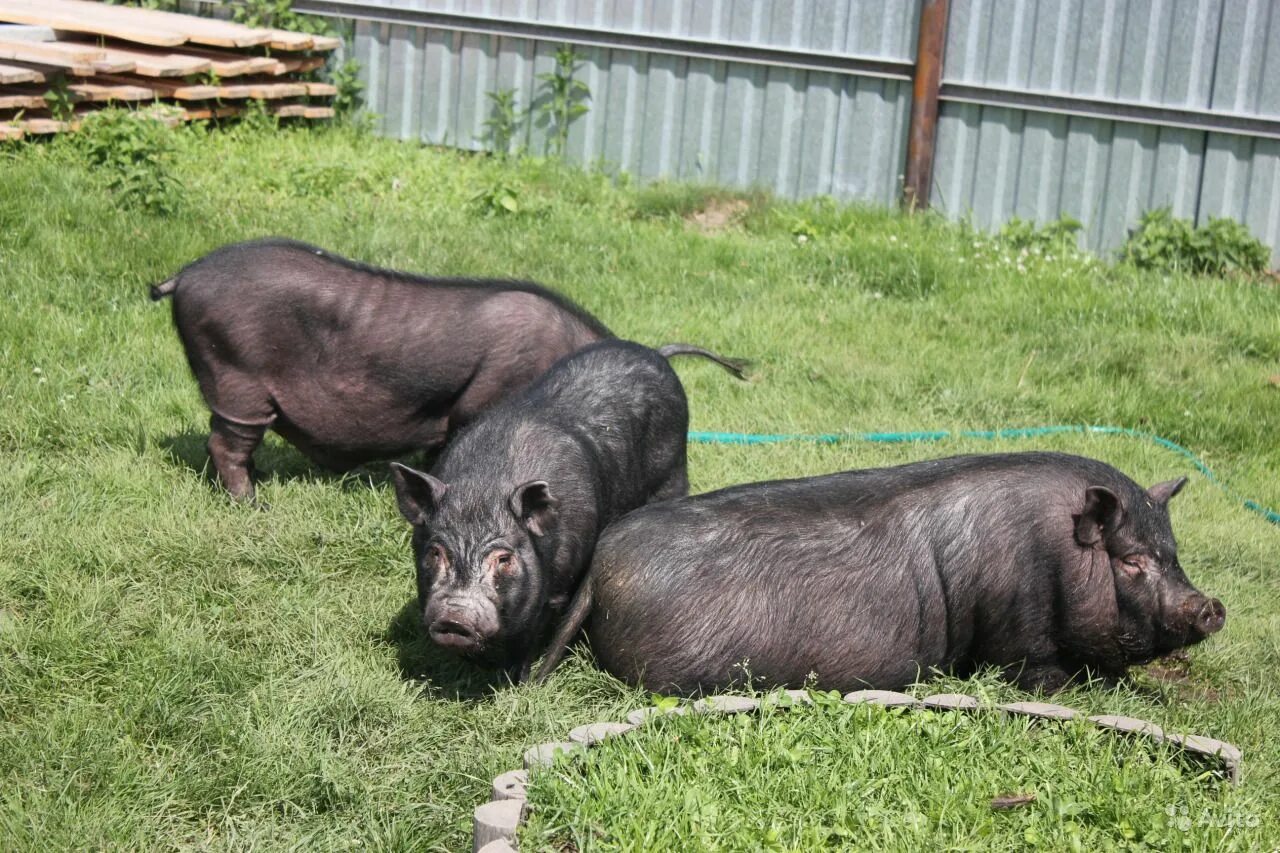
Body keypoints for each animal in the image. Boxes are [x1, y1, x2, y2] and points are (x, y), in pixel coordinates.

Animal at [389, 338, 732, 676]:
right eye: (435, 552)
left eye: (504, 559)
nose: (455, 617)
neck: (484, 485)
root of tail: (657, 352)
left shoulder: (556, 589)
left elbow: (528, 637)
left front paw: (514, 678)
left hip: (672, 470)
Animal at [535, 450, 1223, 691]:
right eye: (1131, 561)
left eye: (1173, 553)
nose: (1211, 606)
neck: (1054, 553)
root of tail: (601, 567)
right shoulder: (1019, 633)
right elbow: (1041, 673)